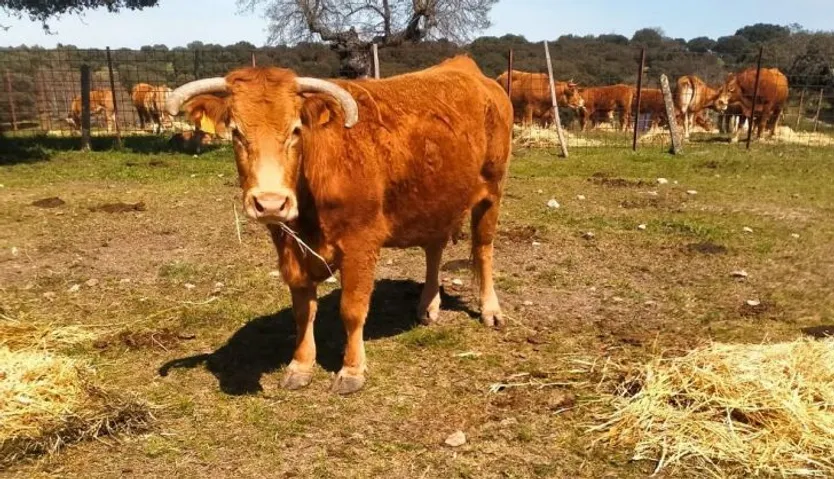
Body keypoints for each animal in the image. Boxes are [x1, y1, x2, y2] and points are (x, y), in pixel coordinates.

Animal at [164, 55, 513, 395]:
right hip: (436, 200)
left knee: (483, 249)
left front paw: (352, 370)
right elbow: (303, 309)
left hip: (492, 192)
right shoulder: (289, 247)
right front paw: (301, 365)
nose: (271, 203)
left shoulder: (361, 244)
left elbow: (352, 309)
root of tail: (467, 68)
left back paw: (490, 310)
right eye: (236, 133)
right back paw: (428, 305)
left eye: (295, 130)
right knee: (434, 248)